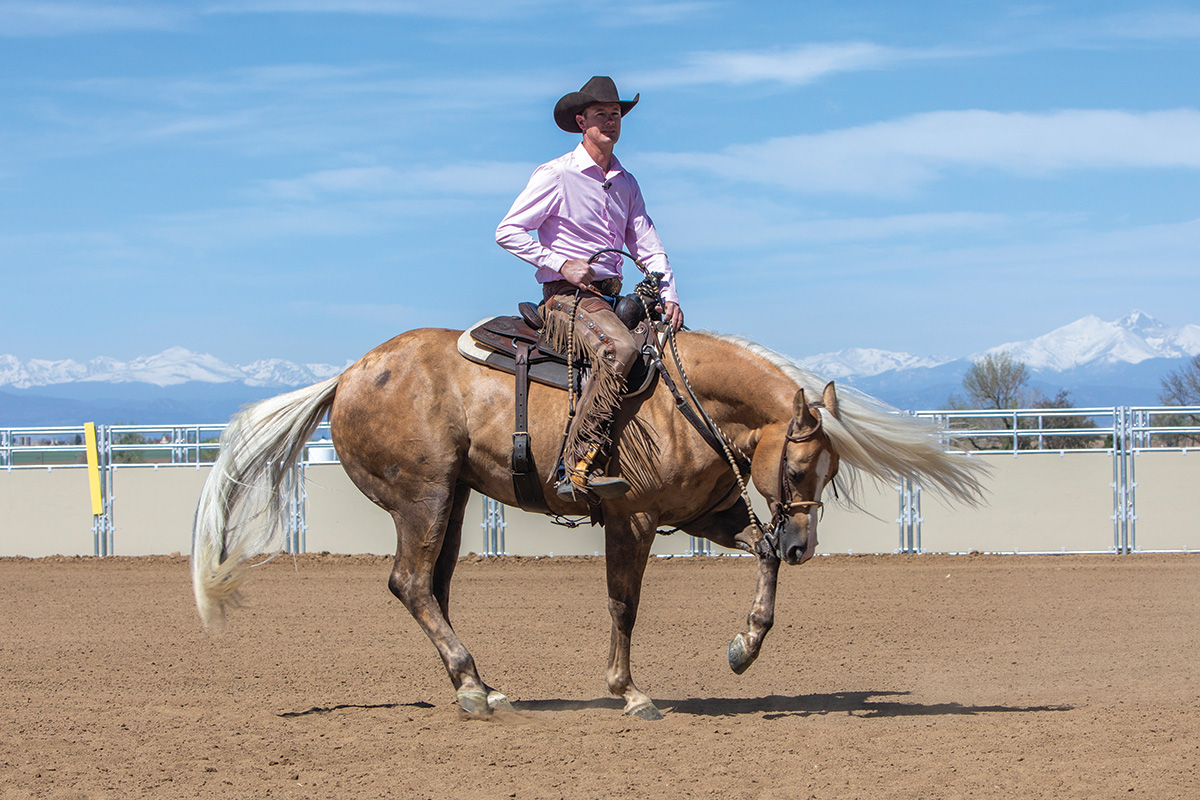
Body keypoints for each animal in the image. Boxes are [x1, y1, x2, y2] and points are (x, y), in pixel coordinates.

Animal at [194, 326, 984, 719]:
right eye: (795, 470)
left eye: (832, 475)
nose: (804, 545)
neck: (682, 401)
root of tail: (347, 376)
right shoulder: (631, 520)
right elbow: (623, 603)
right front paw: (628, 691)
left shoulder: (708, 513)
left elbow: (757, 559)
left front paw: (744, 646)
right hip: (424, 497)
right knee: (411, 583)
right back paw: (473, 689)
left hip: (452, 501)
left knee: (433, 587)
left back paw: (479, 683)